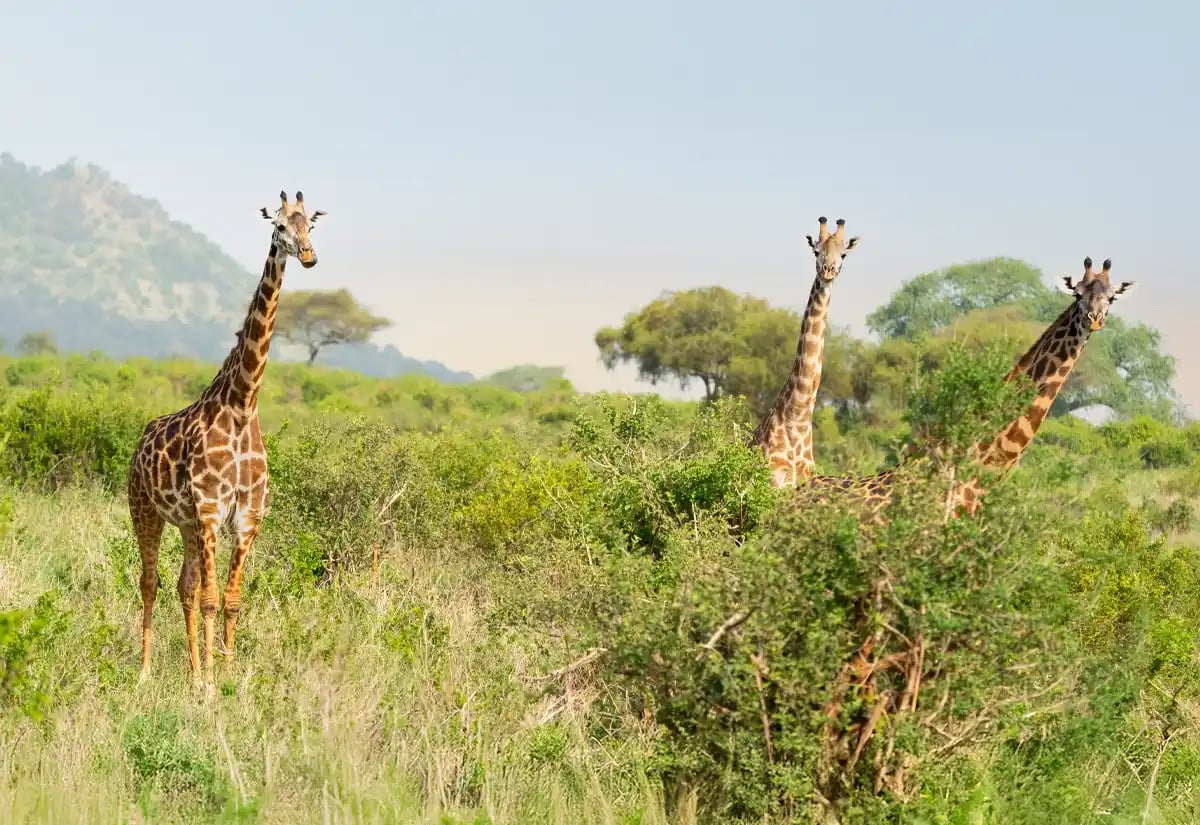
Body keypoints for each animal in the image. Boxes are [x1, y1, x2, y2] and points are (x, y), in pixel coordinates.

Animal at [128, 190, 326, 690]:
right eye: (279, 226)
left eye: (310, 225)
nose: (309, 256)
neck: (241, 405)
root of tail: (139, 441)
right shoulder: (212, 509)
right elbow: (212, 599)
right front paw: (211, 684)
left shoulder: (246, 517)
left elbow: (230, 600)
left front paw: (227, 673)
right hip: (145, 510)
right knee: (150, 581)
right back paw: (146, 671)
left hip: (186, 524)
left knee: (184, 585)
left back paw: (192, 666)